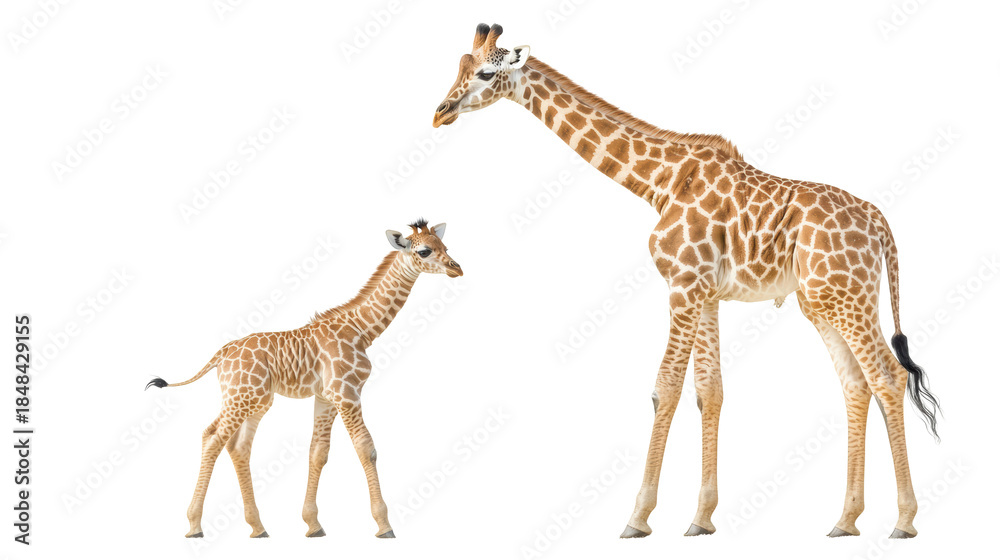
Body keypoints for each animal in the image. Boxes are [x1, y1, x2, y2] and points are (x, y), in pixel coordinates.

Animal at [145, 220, 462, 539]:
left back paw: (258, 527)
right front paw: (384, 525)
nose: (457, 268)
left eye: (445, 246)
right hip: (242, 396)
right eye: (424, 251)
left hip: (255, 400)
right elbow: (366, 448)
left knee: (237, 446)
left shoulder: (326, 397)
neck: (362, 330)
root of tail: (221, 354)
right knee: (213, 439)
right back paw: (195, 526)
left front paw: (313, 524)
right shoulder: (347, 393)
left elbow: (318, 452)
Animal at [432, 24, 941, 539]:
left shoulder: (682, 284)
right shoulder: (707, 293)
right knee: (856, 383)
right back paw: (846, 519)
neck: (660, 181)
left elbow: (666, 387)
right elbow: (709, 390)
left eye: (486, 72)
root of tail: (880, 223)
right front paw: (701, 517)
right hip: (821, 301)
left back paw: (904, 521)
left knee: (887, 375)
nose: (440, 113)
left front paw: (638, 517)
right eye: (458, 65)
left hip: (846, 295)